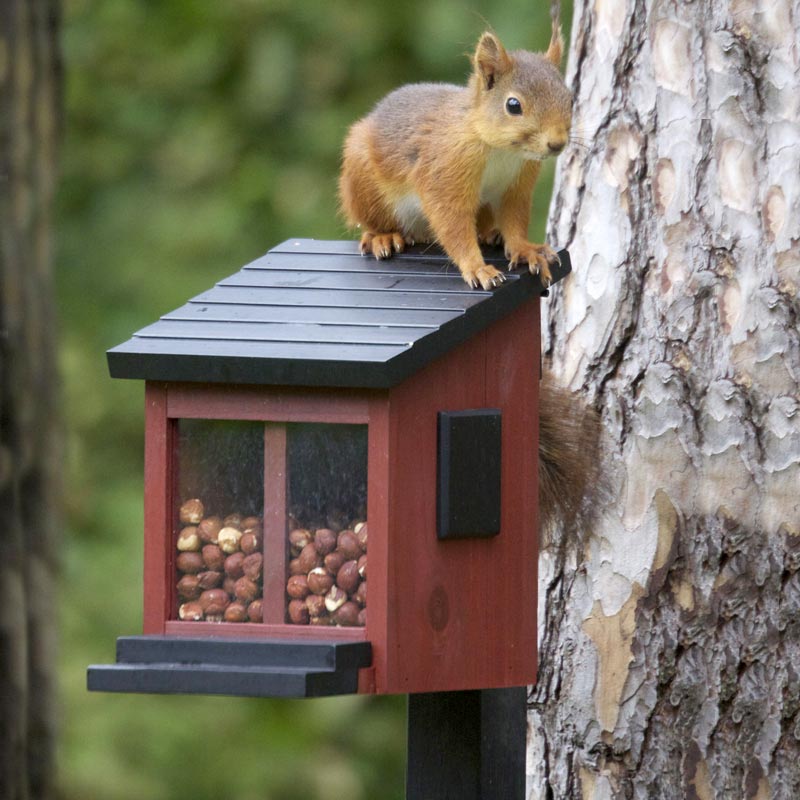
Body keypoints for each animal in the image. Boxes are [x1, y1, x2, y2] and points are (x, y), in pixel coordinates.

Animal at [340, 18, 572, 290]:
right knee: (373, 223)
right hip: (364, 186)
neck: (502, 151)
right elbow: (452, 224)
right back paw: (382, 237)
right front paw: (478, 268)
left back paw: (490, 234)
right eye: (513, 105)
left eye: (570, 99)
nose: (557, 143)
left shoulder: (515, 186)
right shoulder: (446, 171)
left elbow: (514, 220)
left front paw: (526, 250)